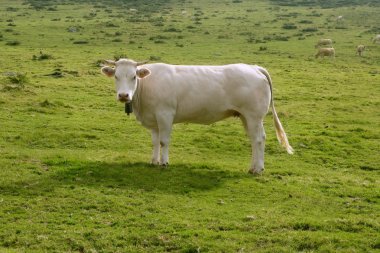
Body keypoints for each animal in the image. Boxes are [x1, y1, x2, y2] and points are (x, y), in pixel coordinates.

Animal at [101, 58, 294, 174]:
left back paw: (258, 169)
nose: (124, 95)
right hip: (245, 116)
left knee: (259, 139)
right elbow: (155, 142)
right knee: (254, 140)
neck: (145, 87)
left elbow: (164, 141)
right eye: (116, 76)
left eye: (134, 77)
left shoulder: (165, 114)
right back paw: (253, 167)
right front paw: (153, 161)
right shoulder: (153, 119)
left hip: (254, 116)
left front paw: (164, 162)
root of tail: (254, 67)